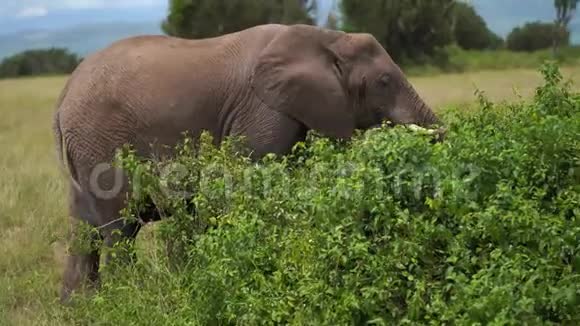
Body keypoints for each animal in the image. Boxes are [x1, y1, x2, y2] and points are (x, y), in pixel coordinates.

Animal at [54, 23, 442, 304]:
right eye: (384, 81)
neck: (326, 38)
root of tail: (64, 96)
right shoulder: (264, 113)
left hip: (84, 149)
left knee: (84, 231)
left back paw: (81, 307)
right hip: (102, 142)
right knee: (120, 228)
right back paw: (129, 299)